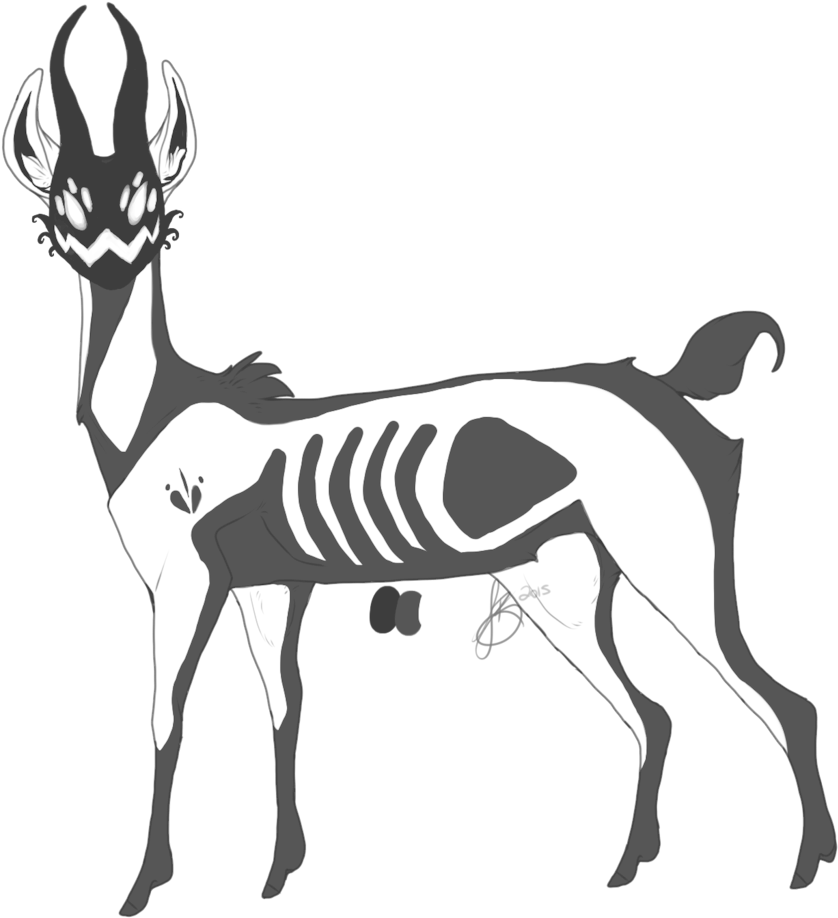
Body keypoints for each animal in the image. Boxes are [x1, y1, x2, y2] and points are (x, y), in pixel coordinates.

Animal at [5, 5, 833, 914]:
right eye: (62, 202)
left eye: (151, 201)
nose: (110, 256)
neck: (152, 420)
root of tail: (661, 386)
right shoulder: (268, 586)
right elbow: (284, 707)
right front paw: (278, 873)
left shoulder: (183, 578)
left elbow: (166, 715)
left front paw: (143, 888)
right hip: (559, 585)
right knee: (654, 714)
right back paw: (626, 869)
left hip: (669, 558)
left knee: (785, 702)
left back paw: (805, 868)